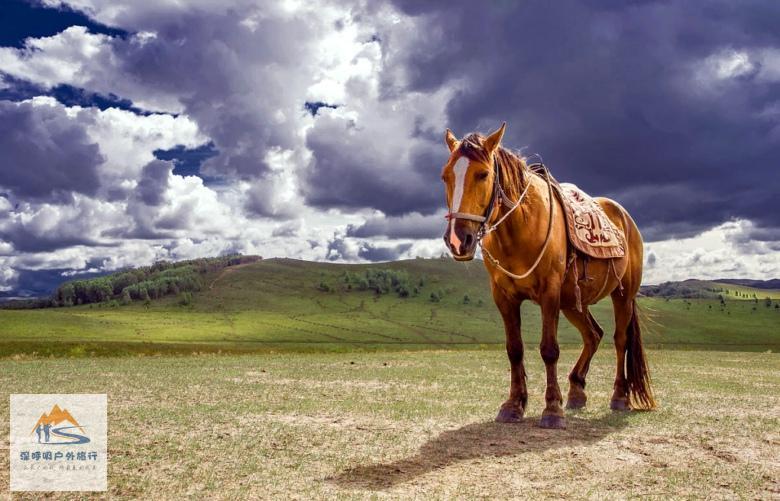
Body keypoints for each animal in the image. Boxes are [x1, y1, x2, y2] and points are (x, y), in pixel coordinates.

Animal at [442, 123, 656, 428]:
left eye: (482, 174)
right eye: (445, 176)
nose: (458, 240)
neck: (520, 228)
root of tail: (625, 218)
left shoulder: (549, 293)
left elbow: (549, 349)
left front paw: (552, 409)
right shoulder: (504, 297)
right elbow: (514, 349)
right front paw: (513, 405)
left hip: (622, 295)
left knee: (619, 340)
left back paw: (619, 397)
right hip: (573, 303)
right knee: (593, 335)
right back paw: (577, 391)